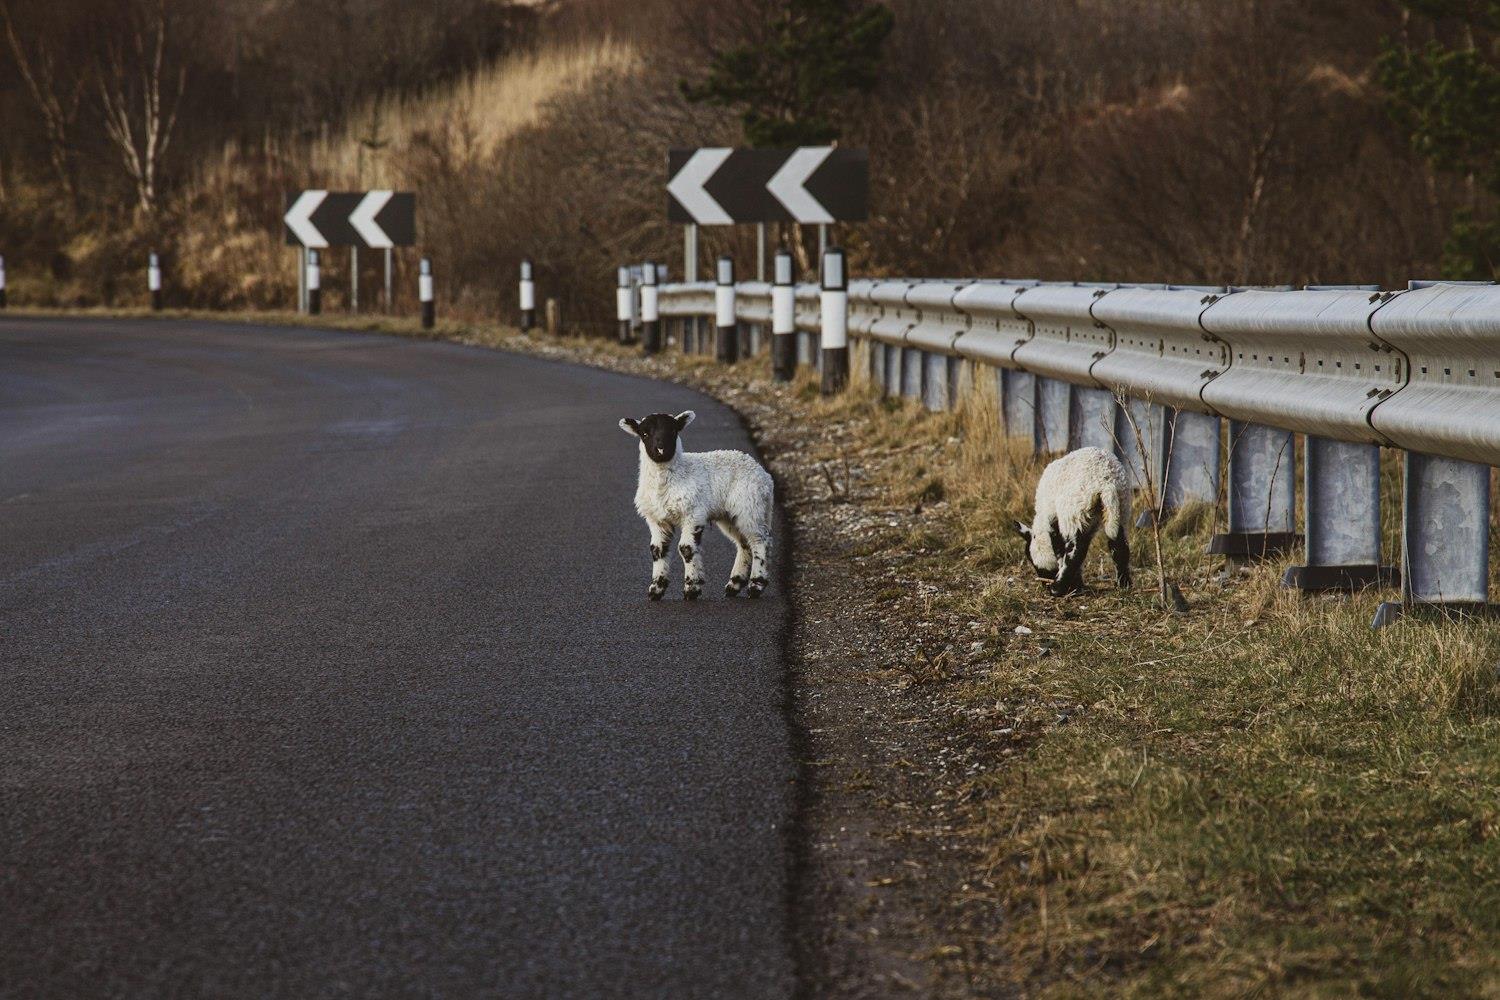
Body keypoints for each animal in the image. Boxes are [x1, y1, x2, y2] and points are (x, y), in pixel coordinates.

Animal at [615, 407, 774, 599]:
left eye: (673, 431)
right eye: (644, 434)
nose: (661, 449)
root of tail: (765, 476)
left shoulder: (693, 513)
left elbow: (686, 548)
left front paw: (691, 588)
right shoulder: (656, 519)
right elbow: (657, 550)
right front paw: (656, 589)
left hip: (749, 505)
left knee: (760, 541)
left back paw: (756, 585)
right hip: (730, 514)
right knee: (744, 544)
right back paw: (734, 585)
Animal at [1014, 449, 1128, 599]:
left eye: (1033, 563)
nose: (1044, 585)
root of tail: (1107, 483)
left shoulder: (1055, 524)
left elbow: (1061, 554)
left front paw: (1070, 586)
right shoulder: (1087, 529)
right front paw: (1077, 585)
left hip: (1073, 513)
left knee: (1074, 552)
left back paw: (1057, 588)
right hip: (1118, 510)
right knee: (1118, 544)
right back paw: (1124, 585)